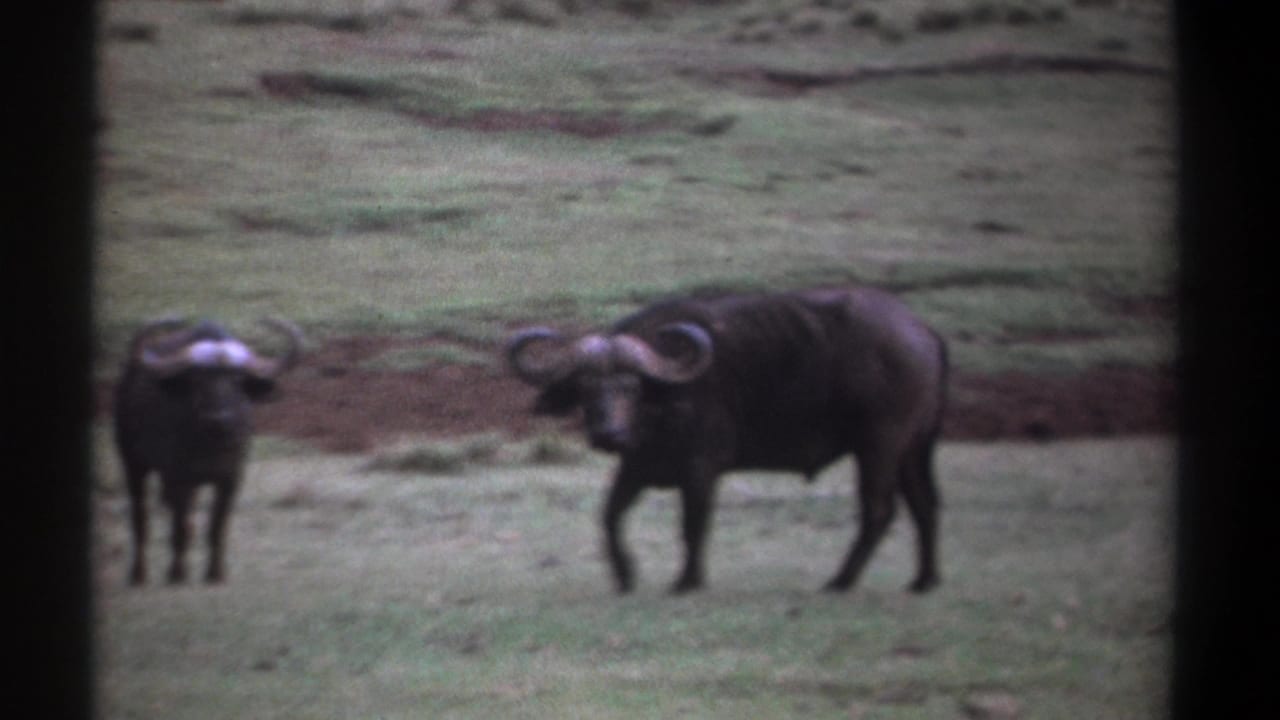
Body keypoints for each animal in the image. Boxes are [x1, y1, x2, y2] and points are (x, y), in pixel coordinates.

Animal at [113, 317, 303, 585]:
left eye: (237, 381)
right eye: (198, 380)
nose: (218, 418)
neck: (210, 444)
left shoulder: (230, 479)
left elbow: (217, 526)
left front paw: (215, 572)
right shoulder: (177, 477)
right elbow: (178, 527)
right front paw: (177, 573)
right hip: (133, 463)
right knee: (141, 517)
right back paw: (138, 573)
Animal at [507, 287, 948, 594]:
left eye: (630, 387)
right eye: (585, 389)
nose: (608, 435)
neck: (664, 404)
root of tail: (922, 329)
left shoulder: (701, 470)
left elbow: (693, 525)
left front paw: (687, 581)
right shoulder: (637, 467)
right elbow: (610, 517)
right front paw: (625, 576)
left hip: (879, 446)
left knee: (878, 510)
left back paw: (840, 581)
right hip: (913, 449)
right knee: (924, 505)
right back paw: (923, 580)